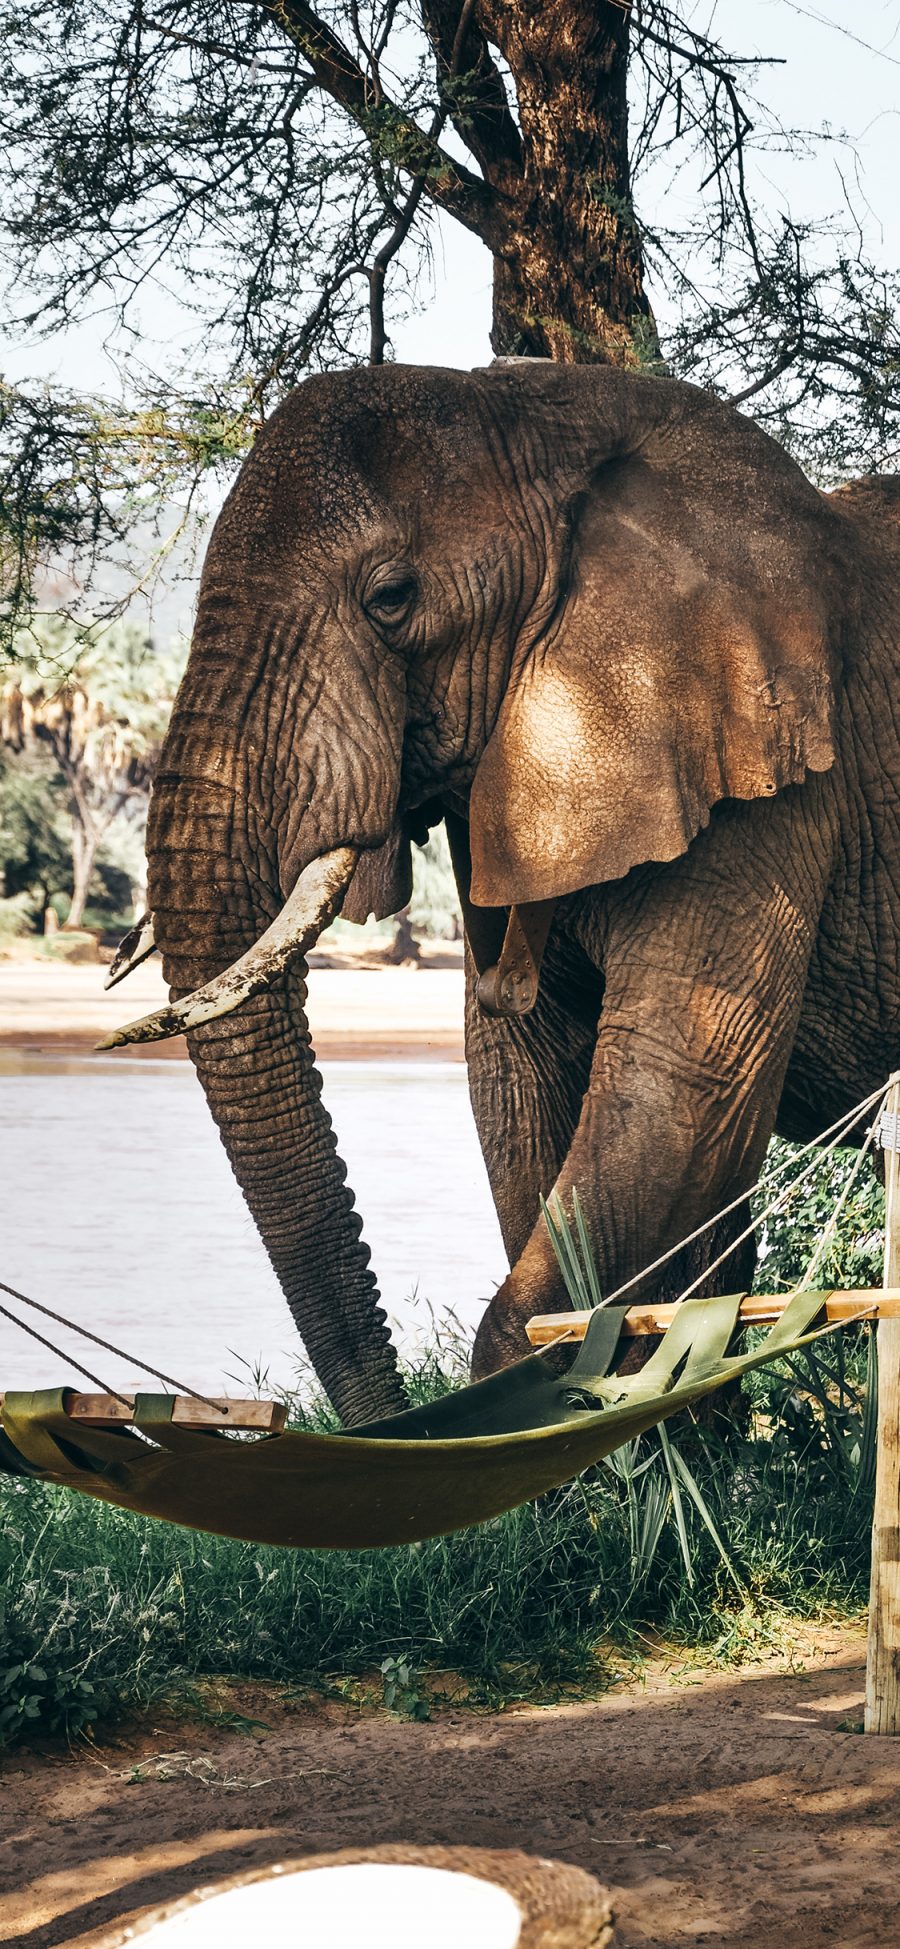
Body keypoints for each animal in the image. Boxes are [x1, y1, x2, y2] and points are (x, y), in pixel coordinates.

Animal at [110, 366, 900, 1426]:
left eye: (391, 598)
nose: (383, 1414)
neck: (551, 417)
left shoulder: (770, 785)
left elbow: (678, 1083)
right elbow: (517, 1070)